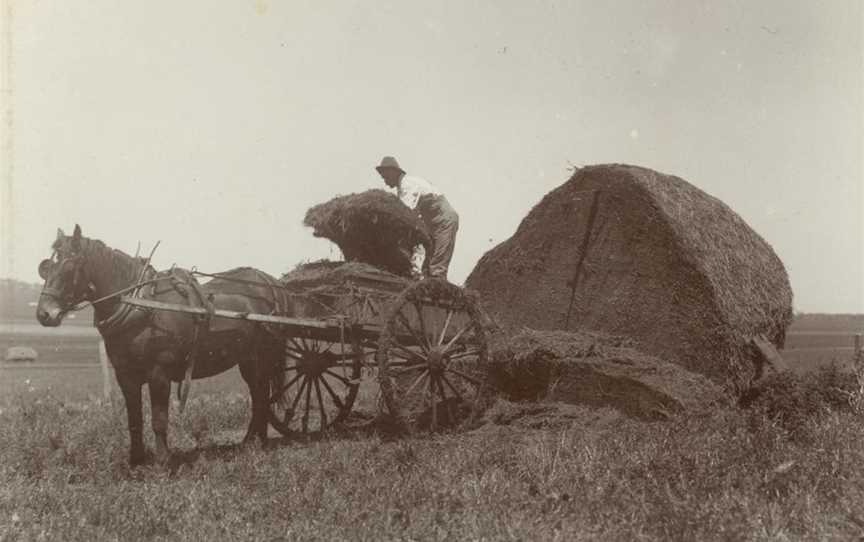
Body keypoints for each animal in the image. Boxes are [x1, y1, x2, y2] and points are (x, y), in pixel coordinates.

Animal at [36, 225, 286, 468]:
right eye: (46, 268)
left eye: (69, 267)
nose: (44, 314)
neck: (142, 306)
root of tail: (270, 283)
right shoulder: (125, 375)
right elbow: (134, 419)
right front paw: (136, 461)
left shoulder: (159, 373)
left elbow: (158, 420)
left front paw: (163, 462)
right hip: (248, 359)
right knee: (259, 395)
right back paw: (254, 441)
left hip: (262, 358)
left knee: (261, 397)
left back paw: (254, 443)